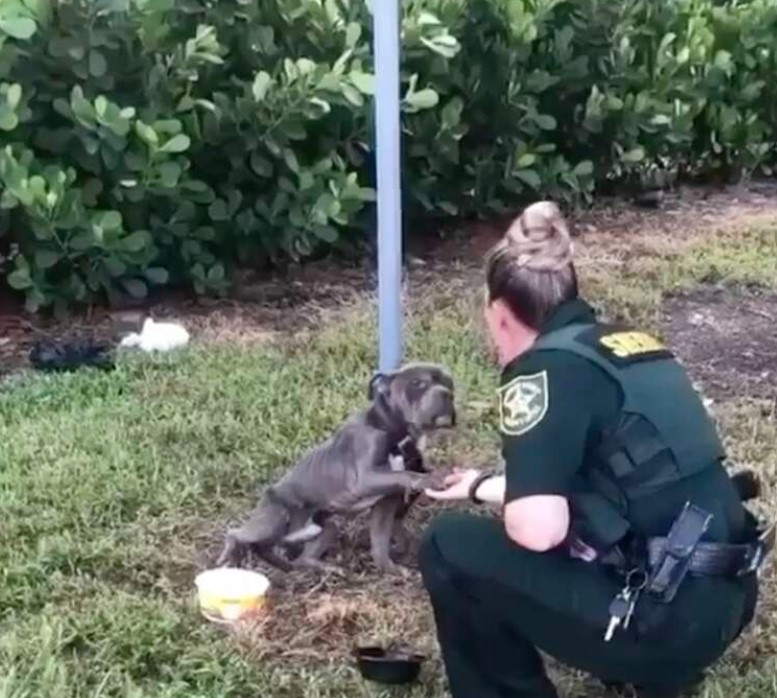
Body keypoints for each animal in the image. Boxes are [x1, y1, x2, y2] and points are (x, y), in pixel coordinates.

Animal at [215, 362, 456, 574]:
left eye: (448, 382)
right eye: (417, 383)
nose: (447, 394)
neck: (395, 431)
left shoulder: (386, 503)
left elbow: (380, 541)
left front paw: (390, 567)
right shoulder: (365, 478)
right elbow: (406, 474)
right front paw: (430, 478)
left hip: (325, 529)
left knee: (297, 558)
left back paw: (320, 568)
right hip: (275, 519)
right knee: (237, 534)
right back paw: (231, 555)